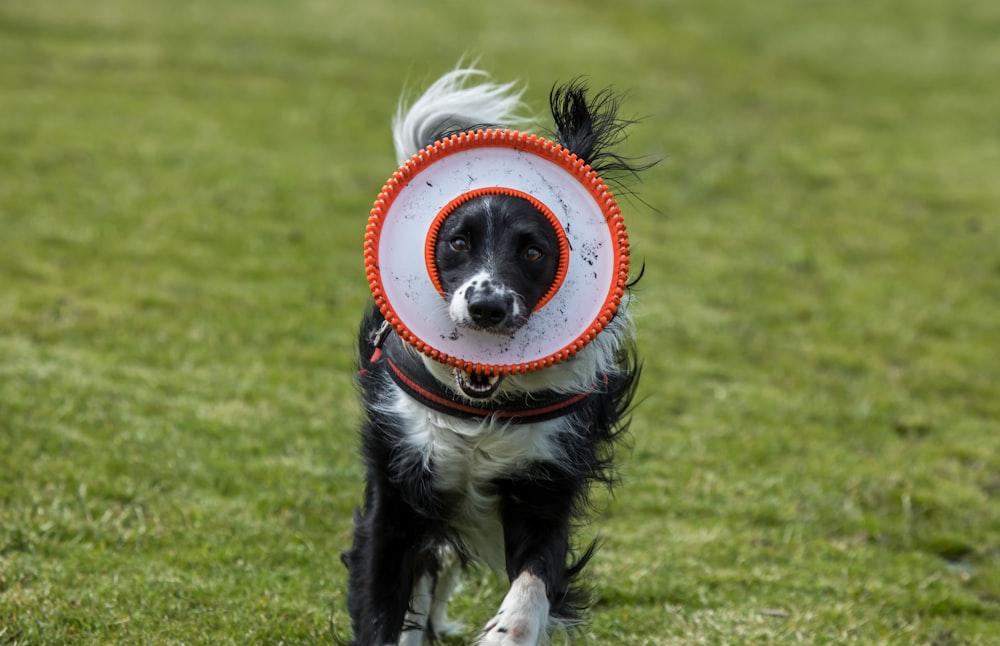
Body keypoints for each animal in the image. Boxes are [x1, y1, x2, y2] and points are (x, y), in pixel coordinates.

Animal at [340, 68, 644, 644]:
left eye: (533, 251)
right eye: (458, 243)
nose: (487, 308)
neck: (480, 411)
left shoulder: (545, 488)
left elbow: (532, 586)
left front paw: (505, 632)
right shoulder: (398, 495)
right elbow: (384, 606)